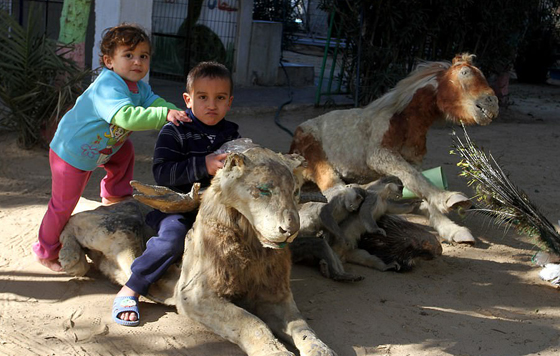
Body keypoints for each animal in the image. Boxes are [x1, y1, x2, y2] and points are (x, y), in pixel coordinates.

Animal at [288, 52, 498, 243]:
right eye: (464, 73)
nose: (493, 104)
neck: (402, 121)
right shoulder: (380, 156)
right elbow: (414, 178)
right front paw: (449, 199)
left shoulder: (411, 162)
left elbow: (419, 188)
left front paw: (454, 231)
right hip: (319, 164)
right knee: (334, 189)